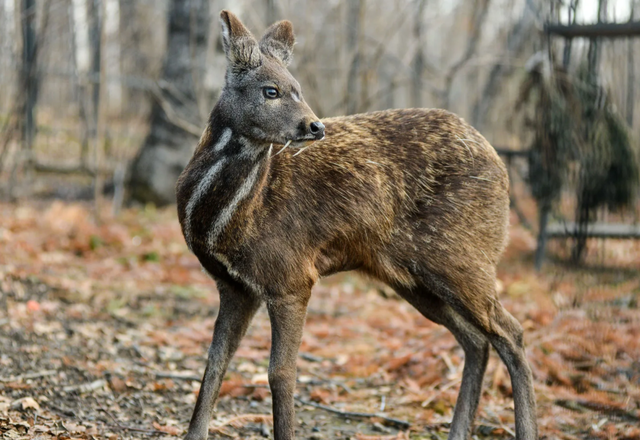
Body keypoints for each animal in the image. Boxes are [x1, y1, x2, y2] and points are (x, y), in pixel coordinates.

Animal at [174, 10, 536, 440]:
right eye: (270, 90)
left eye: (297, 88)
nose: (314, 126)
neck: (226, 221)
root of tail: (501, 166)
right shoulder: (234, 286)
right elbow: (214, 364)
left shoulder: (291, 277)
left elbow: (281, 373)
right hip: (412, 277)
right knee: (477, 340)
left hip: (462, 256)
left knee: (511, 333)